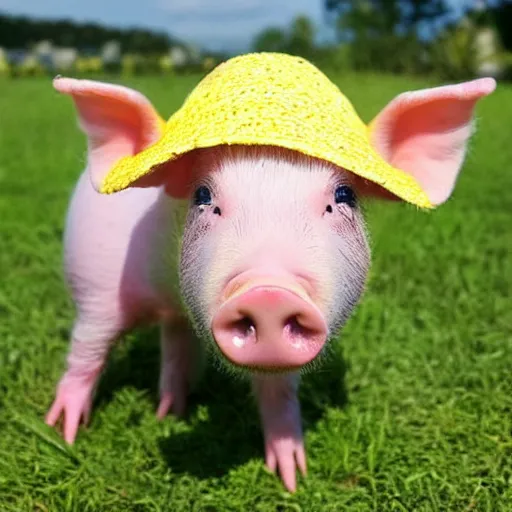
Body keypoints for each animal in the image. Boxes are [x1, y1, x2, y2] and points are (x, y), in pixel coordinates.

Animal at [46, 74, 494, 490]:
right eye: (203, 197)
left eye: (344, 197)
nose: (269, 293)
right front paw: (65, 438)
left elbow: (278, 394)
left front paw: (294, 478)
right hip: (93, 280)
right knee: (87, 350)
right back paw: (63, 430)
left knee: (174, 344)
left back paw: (170, 411)